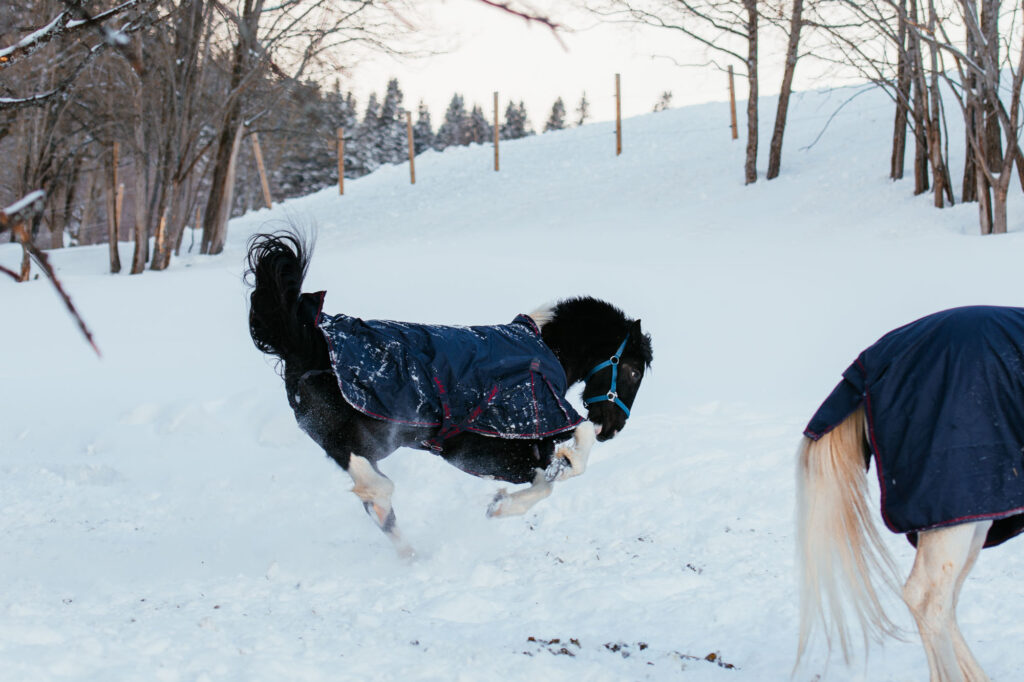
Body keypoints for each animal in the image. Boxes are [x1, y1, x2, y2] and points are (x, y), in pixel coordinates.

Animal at [243, 232, 651, 552]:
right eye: (632, 371)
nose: (614, 427)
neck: (542, 350)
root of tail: (304, 338)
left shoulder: (501, 450)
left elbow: (546, 475)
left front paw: (516, 492)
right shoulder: (508, 431)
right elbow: (572, 450)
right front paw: (509, 501)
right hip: (358, 439)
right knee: (375, 490)